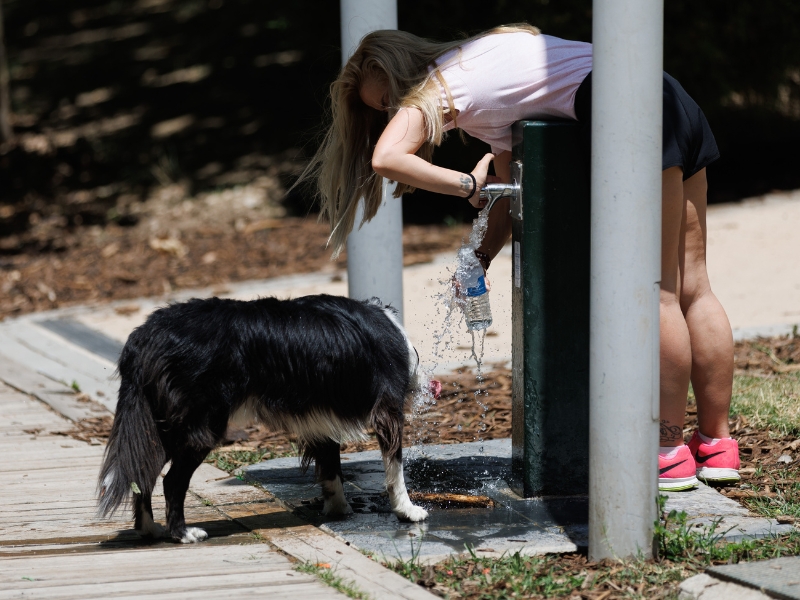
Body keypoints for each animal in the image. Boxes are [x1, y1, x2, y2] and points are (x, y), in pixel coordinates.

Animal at [100, 292, 438, 540]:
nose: (431, 386)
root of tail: (145, 335)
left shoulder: (321, 418)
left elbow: (331, 467)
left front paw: (338, 509)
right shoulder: (387, 411)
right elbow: (395, 468)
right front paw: (408, 511)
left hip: (160, 425)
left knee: (142, 472)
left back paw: (148, 529)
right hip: (202, 425)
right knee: (171, 481)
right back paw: (183, 534)